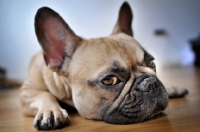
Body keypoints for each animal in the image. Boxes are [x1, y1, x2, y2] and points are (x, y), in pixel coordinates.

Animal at [19, 1, 188, 130]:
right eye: (110, 80)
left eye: (151, 63)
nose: (151, 83)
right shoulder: (25, 90)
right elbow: (43, 94)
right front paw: (51, 111)